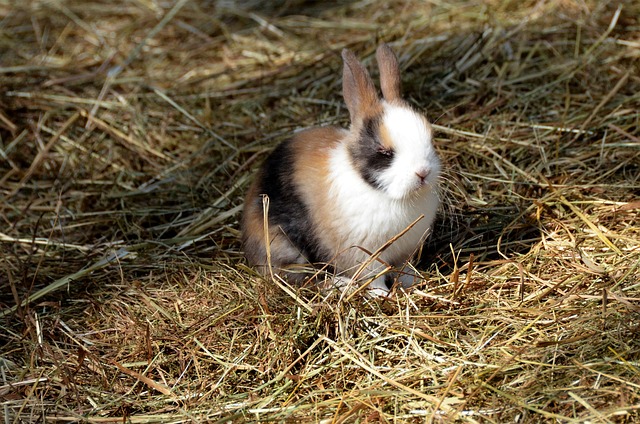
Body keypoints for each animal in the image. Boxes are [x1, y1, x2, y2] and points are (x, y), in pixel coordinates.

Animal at [240, 43, 440, 294]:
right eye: (384, 152)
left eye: (430, 138)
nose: (423, 172)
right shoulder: (364, 256)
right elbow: (373, 278)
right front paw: (382, 295)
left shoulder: (405, 251)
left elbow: (404, 270)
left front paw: (414, 282)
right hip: (285, 248)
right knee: (297, 278)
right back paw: (339, 283)